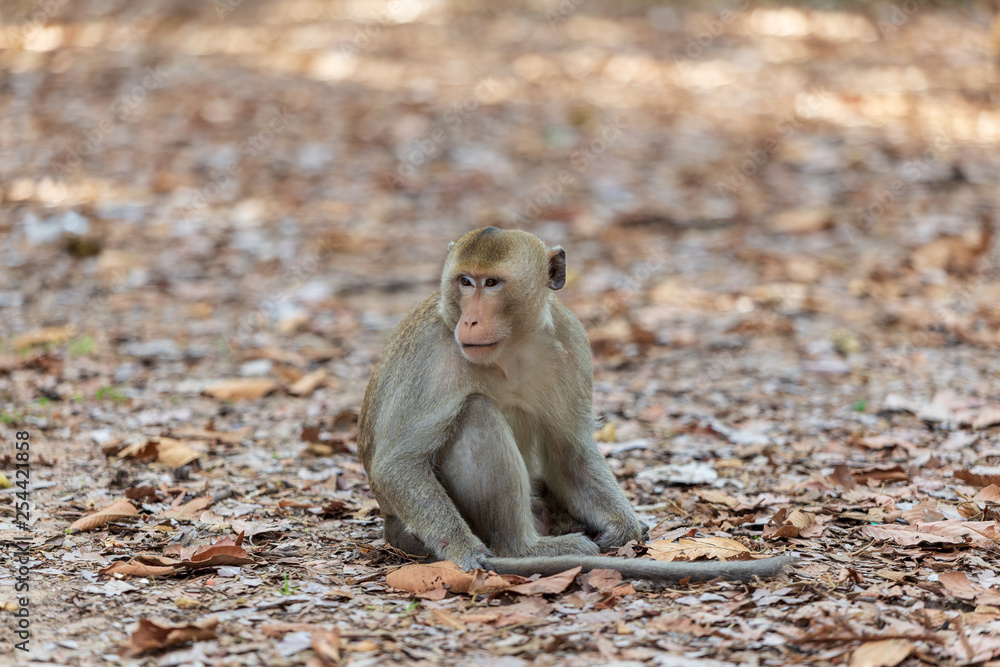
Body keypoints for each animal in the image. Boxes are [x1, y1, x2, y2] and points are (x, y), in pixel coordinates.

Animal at [358, 227, 792, 583]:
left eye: (491, 283)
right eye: (465, 282)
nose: (470, 322)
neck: (511, 348)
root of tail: (389, 525)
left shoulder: (571, 342)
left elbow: (569, 450)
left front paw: (623, 526)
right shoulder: (434, 355)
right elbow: (398, 464)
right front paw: (465, 551)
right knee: (476, 413)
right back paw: (525, 548)